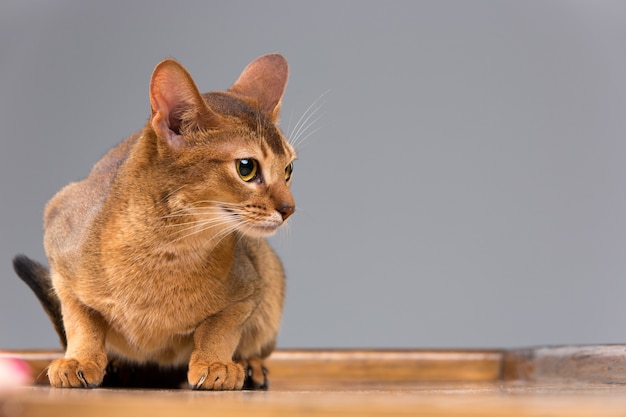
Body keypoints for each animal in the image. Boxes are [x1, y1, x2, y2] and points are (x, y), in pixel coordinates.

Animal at [12, 52, 294, 390]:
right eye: (246, 168)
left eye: (289, 169)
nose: (289, 208)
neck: (166, 247)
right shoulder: (59, 247)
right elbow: (81, 320)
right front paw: (80, 359)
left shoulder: (250, 288)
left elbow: (219, 329)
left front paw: (215, 363)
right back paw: (118, 365)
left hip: (270, 273)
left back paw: (252, 365)